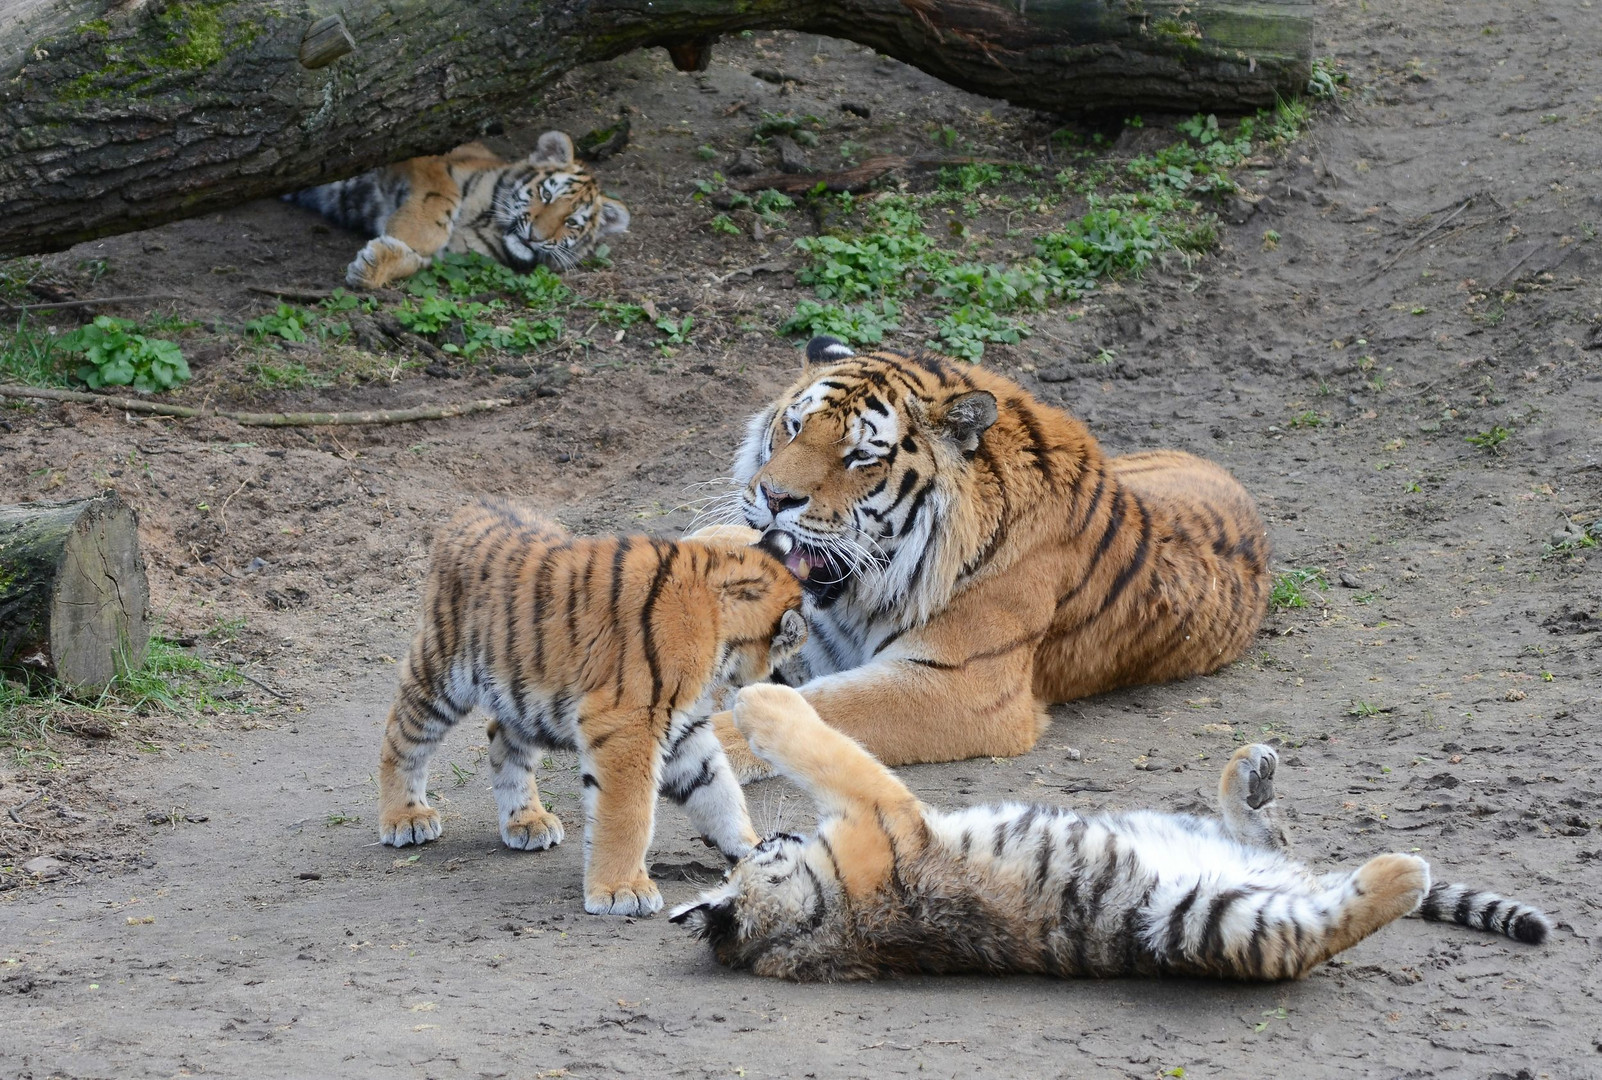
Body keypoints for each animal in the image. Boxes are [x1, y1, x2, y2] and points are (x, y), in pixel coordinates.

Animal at [288, 129, 624, 288]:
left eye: (571, 222)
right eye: (546, 194)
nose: (535, 237)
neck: (486, 222)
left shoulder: (447, 257)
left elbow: (412, 261)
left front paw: (372, 266)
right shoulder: (428, 156)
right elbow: (442, 195)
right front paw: (412, 232)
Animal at [708, 336, 1268, 775]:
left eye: (861, 456)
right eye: (795, 427)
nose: (774, 496)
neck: (863, 594)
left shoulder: (962, 687)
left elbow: (817, 708)